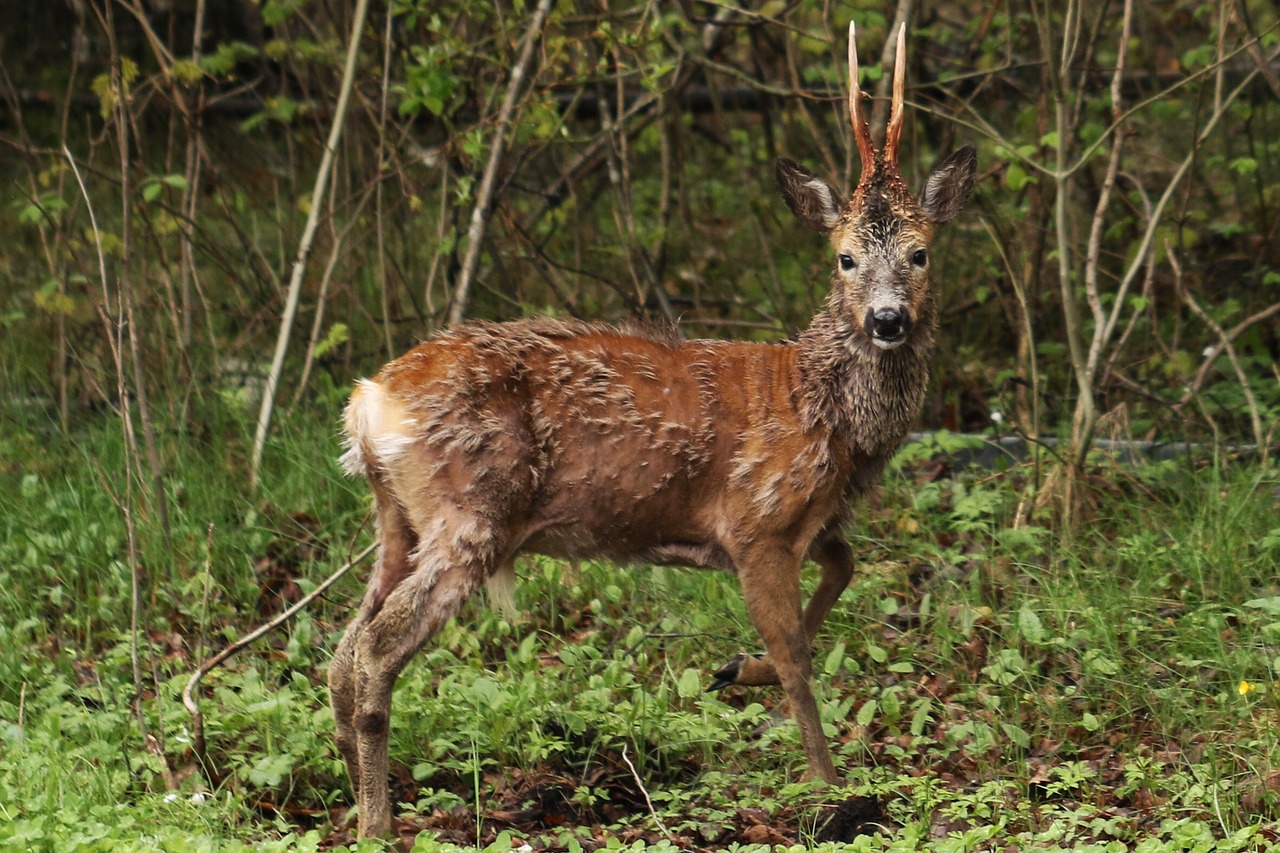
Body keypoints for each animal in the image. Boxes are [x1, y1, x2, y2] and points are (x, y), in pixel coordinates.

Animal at [327, 21, 967, 835]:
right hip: (469, 510)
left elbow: (845, 567)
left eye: (921, 253)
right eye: (846, 257)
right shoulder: (755, 520)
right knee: (375, 649)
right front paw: (830, 788)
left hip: (398, 518)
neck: (825, 412)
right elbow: (796, 653)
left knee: (342, 651)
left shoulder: (808, 524)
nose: (887, 320)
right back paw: (378, 823)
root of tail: (368, 400)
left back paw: (355, 798)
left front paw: (739, 668)